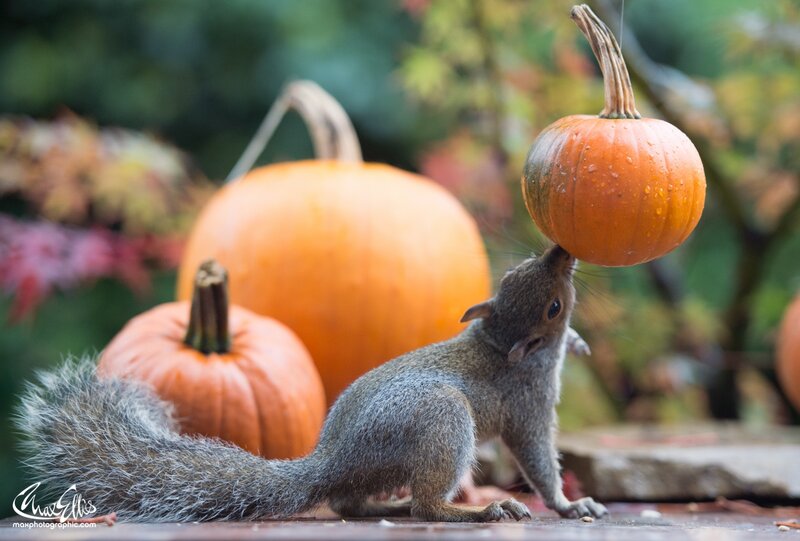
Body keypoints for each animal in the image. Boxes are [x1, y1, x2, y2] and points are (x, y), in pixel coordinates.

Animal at [16, 244, 608, 523]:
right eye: (552, 307)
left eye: (521, 268)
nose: (562, 252)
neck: (499, 344)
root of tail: (332, 459)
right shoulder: (528, 405)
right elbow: (536, 456)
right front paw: (567, 504)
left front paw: (580, 344)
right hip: (441, 419)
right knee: (423, 506)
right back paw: (475, 510)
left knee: (350, 503)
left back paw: (388, 507)